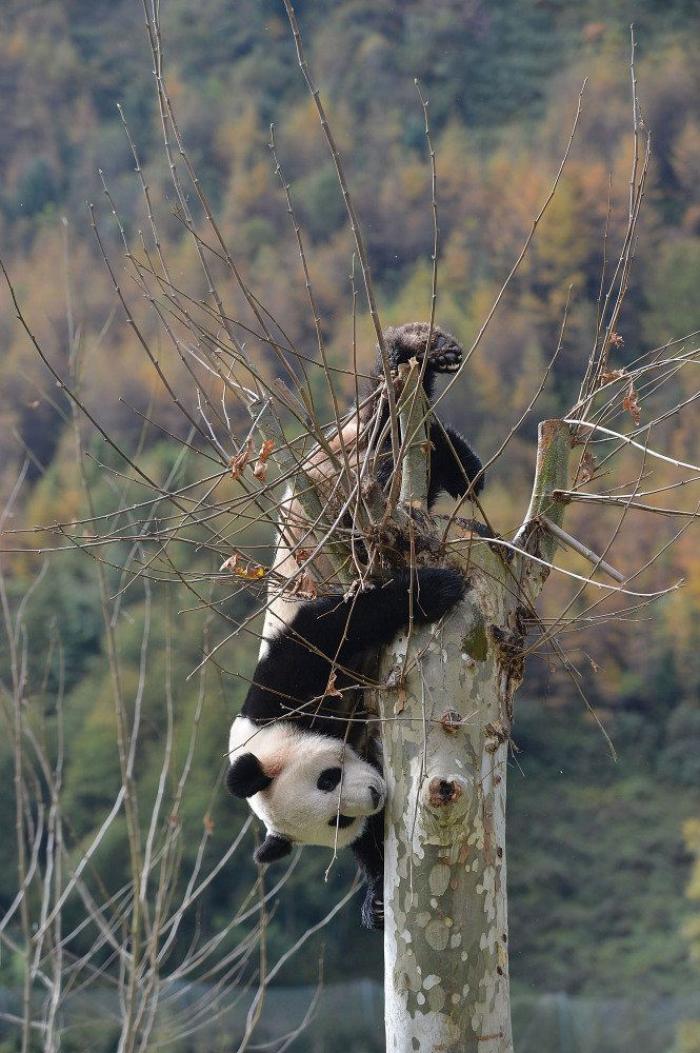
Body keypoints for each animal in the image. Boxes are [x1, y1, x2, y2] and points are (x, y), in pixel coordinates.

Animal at [226, 323, 484, 929]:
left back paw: (419, 354)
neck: (271, 730)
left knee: (390, 436)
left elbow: (345, 622)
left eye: (327, 779)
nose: (373, 797)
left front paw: (433, 590)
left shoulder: (293, 668)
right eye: (336, 820)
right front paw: (376, 897)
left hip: (347, 475)